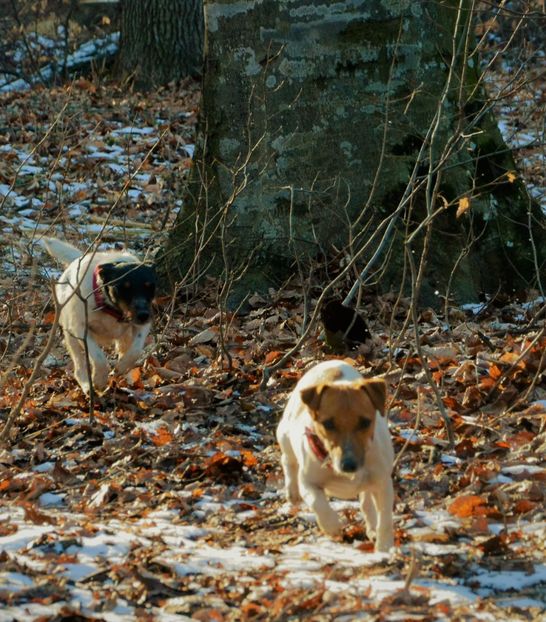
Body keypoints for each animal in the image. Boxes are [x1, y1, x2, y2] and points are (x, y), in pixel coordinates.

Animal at [42, 239, 155, 394]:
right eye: (124, 288)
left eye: (150, 286)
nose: (143, 315)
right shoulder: (80, 329)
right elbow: (99, 357)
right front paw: (99, 380)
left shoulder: (142, 325)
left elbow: (136, 350)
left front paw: (121, 367)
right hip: (71, 336)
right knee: (79, 366)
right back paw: (86, 385)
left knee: (124, 347)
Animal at [276, 360, 392, 552]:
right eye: (328, 424)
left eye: (365, 422)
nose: (349, 465)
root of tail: (331, 362)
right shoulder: (308, 483)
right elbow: (318, 503)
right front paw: (332, 526)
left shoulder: (382, 483)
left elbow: (385, 518)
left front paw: (385, 549)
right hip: (285, 434)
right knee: (288, 460)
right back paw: (292, 492)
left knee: (366, 502)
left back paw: (372, 528)